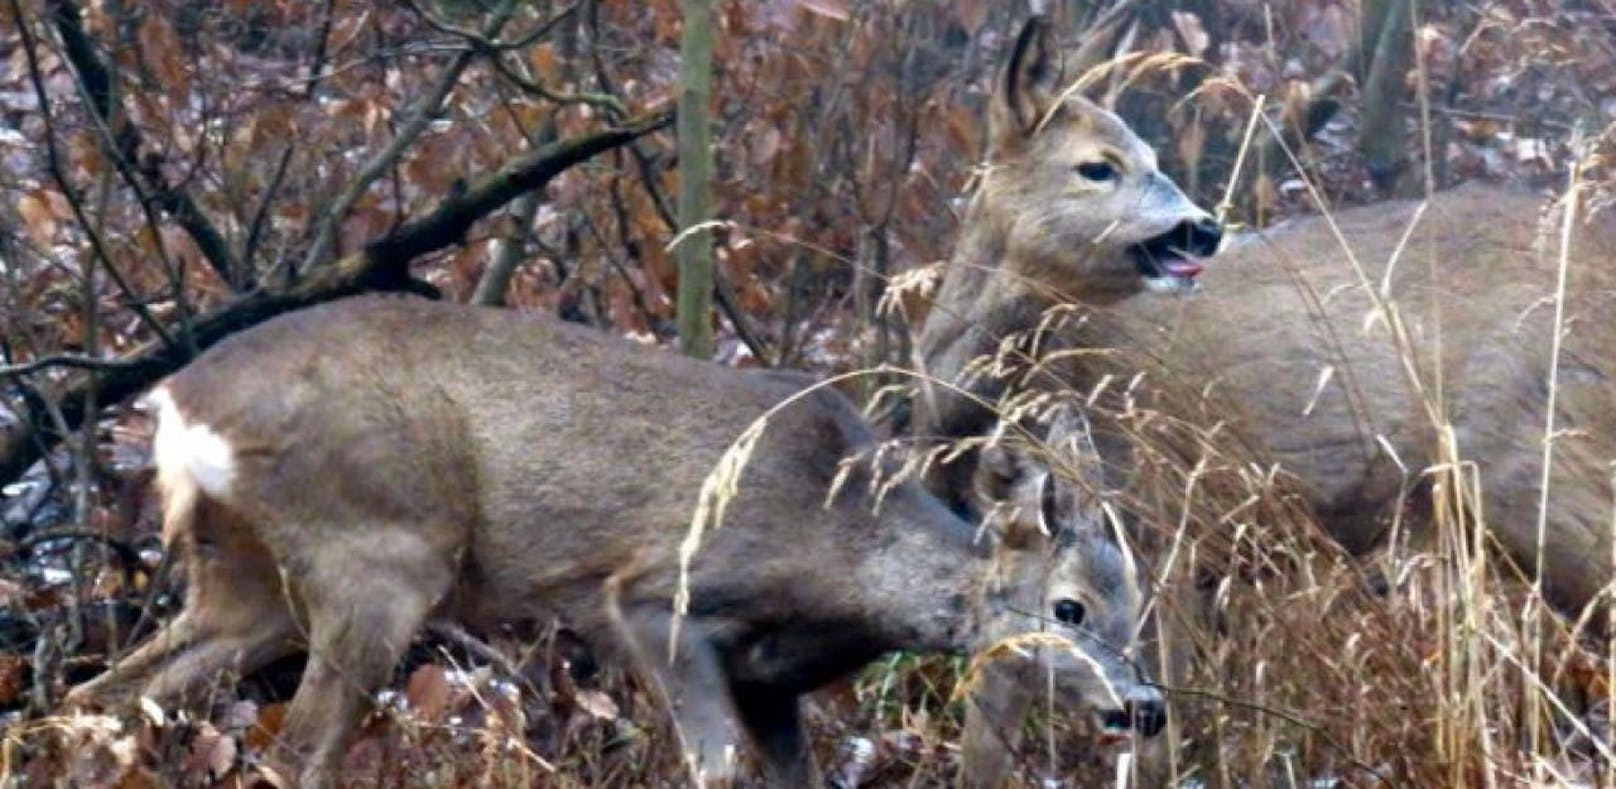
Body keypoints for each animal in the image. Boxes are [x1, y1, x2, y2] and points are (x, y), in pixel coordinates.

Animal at [66, 295, 1163, 789]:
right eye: (1068, 607)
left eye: (1133, 603)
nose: (1145, 707)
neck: (845, 545)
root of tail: (177, 407)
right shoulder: (653, 597)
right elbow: (714, 766)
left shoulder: (772, 682)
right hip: (376, 554)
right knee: (296, 750)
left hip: (246, 578)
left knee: (105, 696)